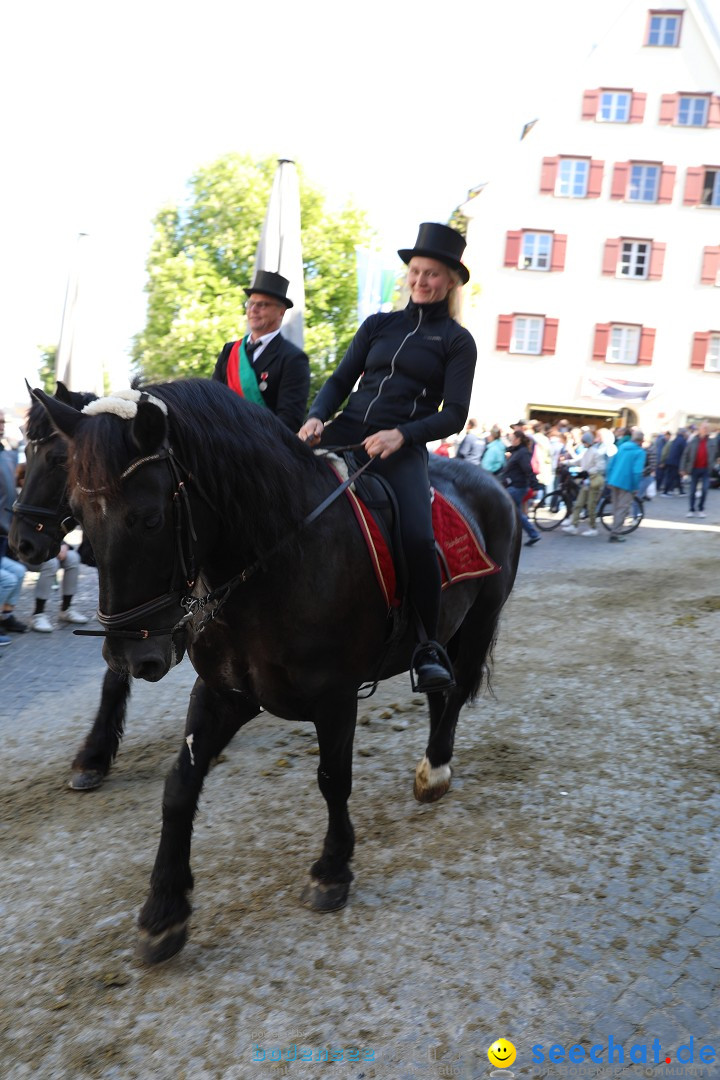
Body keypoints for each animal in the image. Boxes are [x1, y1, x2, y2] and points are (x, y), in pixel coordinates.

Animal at [36, 380, 520, 963]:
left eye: (149, 518)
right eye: (80, 513)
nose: (132, 657)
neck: (277, 560)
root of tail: (494, 483)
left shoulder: (336, 699)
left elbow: (333, 779)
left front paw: (332, 871)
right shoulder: (223, 693)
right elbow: (179, 786)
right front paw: (164, 910)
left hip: (477, 621)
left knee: (453, 692)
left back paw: (437, 770)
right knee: (437, 692)